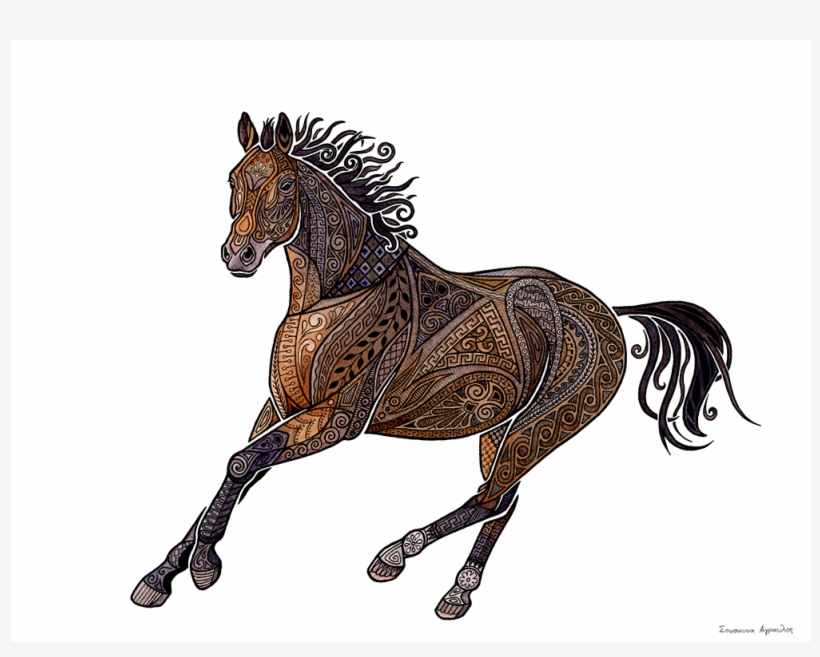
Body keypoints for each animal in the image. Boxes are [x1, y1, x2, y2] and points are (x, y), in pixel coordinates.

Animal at [131, 111, 755, 620]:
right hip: (503, 427)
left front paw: (204, 567)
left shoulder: (338, 419)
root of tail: (610, 310)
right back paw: (455, 590)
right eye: (233, 179)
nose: (236, 256)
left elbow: (240, 464)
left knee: (491, 498)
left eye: (285, 183)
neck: (340, 292)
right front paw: (161, 576)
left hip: (543, 427)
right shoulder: (283, 408)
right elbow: (240, 469)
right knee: (502, 500)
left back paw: (397, 556)